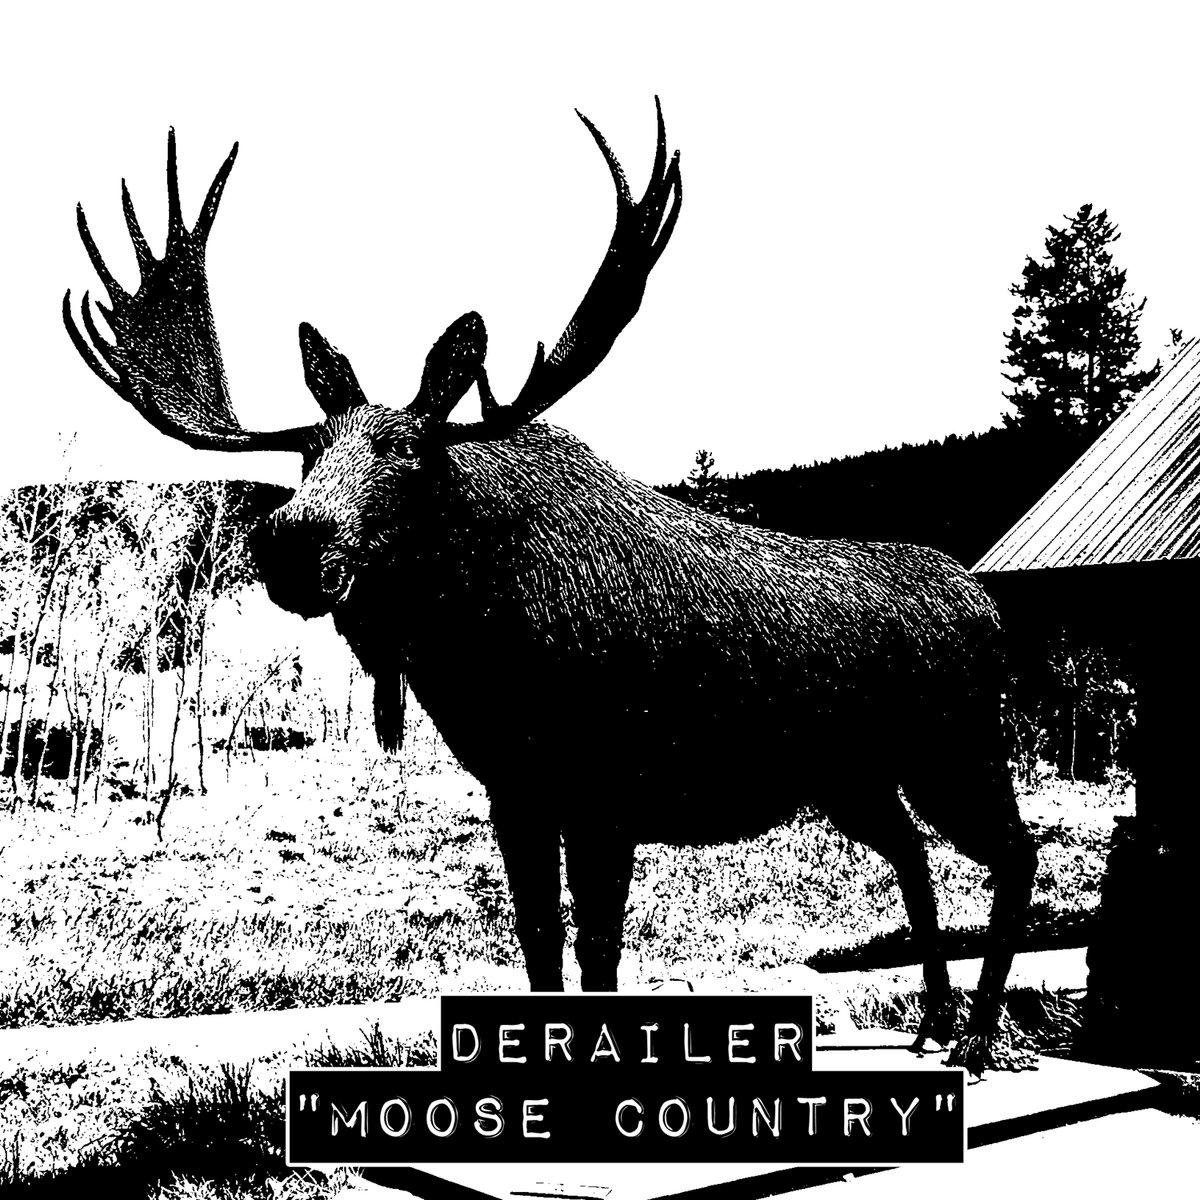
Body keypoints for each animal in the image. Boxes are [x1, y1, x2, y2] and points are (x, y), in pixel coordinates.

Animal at [62, 103, 1037, 1073]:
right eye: (308, 451)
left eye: (408, 451)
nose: (292, 541)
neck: (488, 661)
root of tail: (986, 605)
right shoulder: (518, 794)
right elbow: (538, 945)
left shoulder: (609, 791)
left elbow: (598, 953)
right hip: (854, 776)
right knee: (914, 854)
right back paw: (933, 1023)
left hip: (955, 745)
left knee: (1012, 851)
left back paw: (979, 1035)